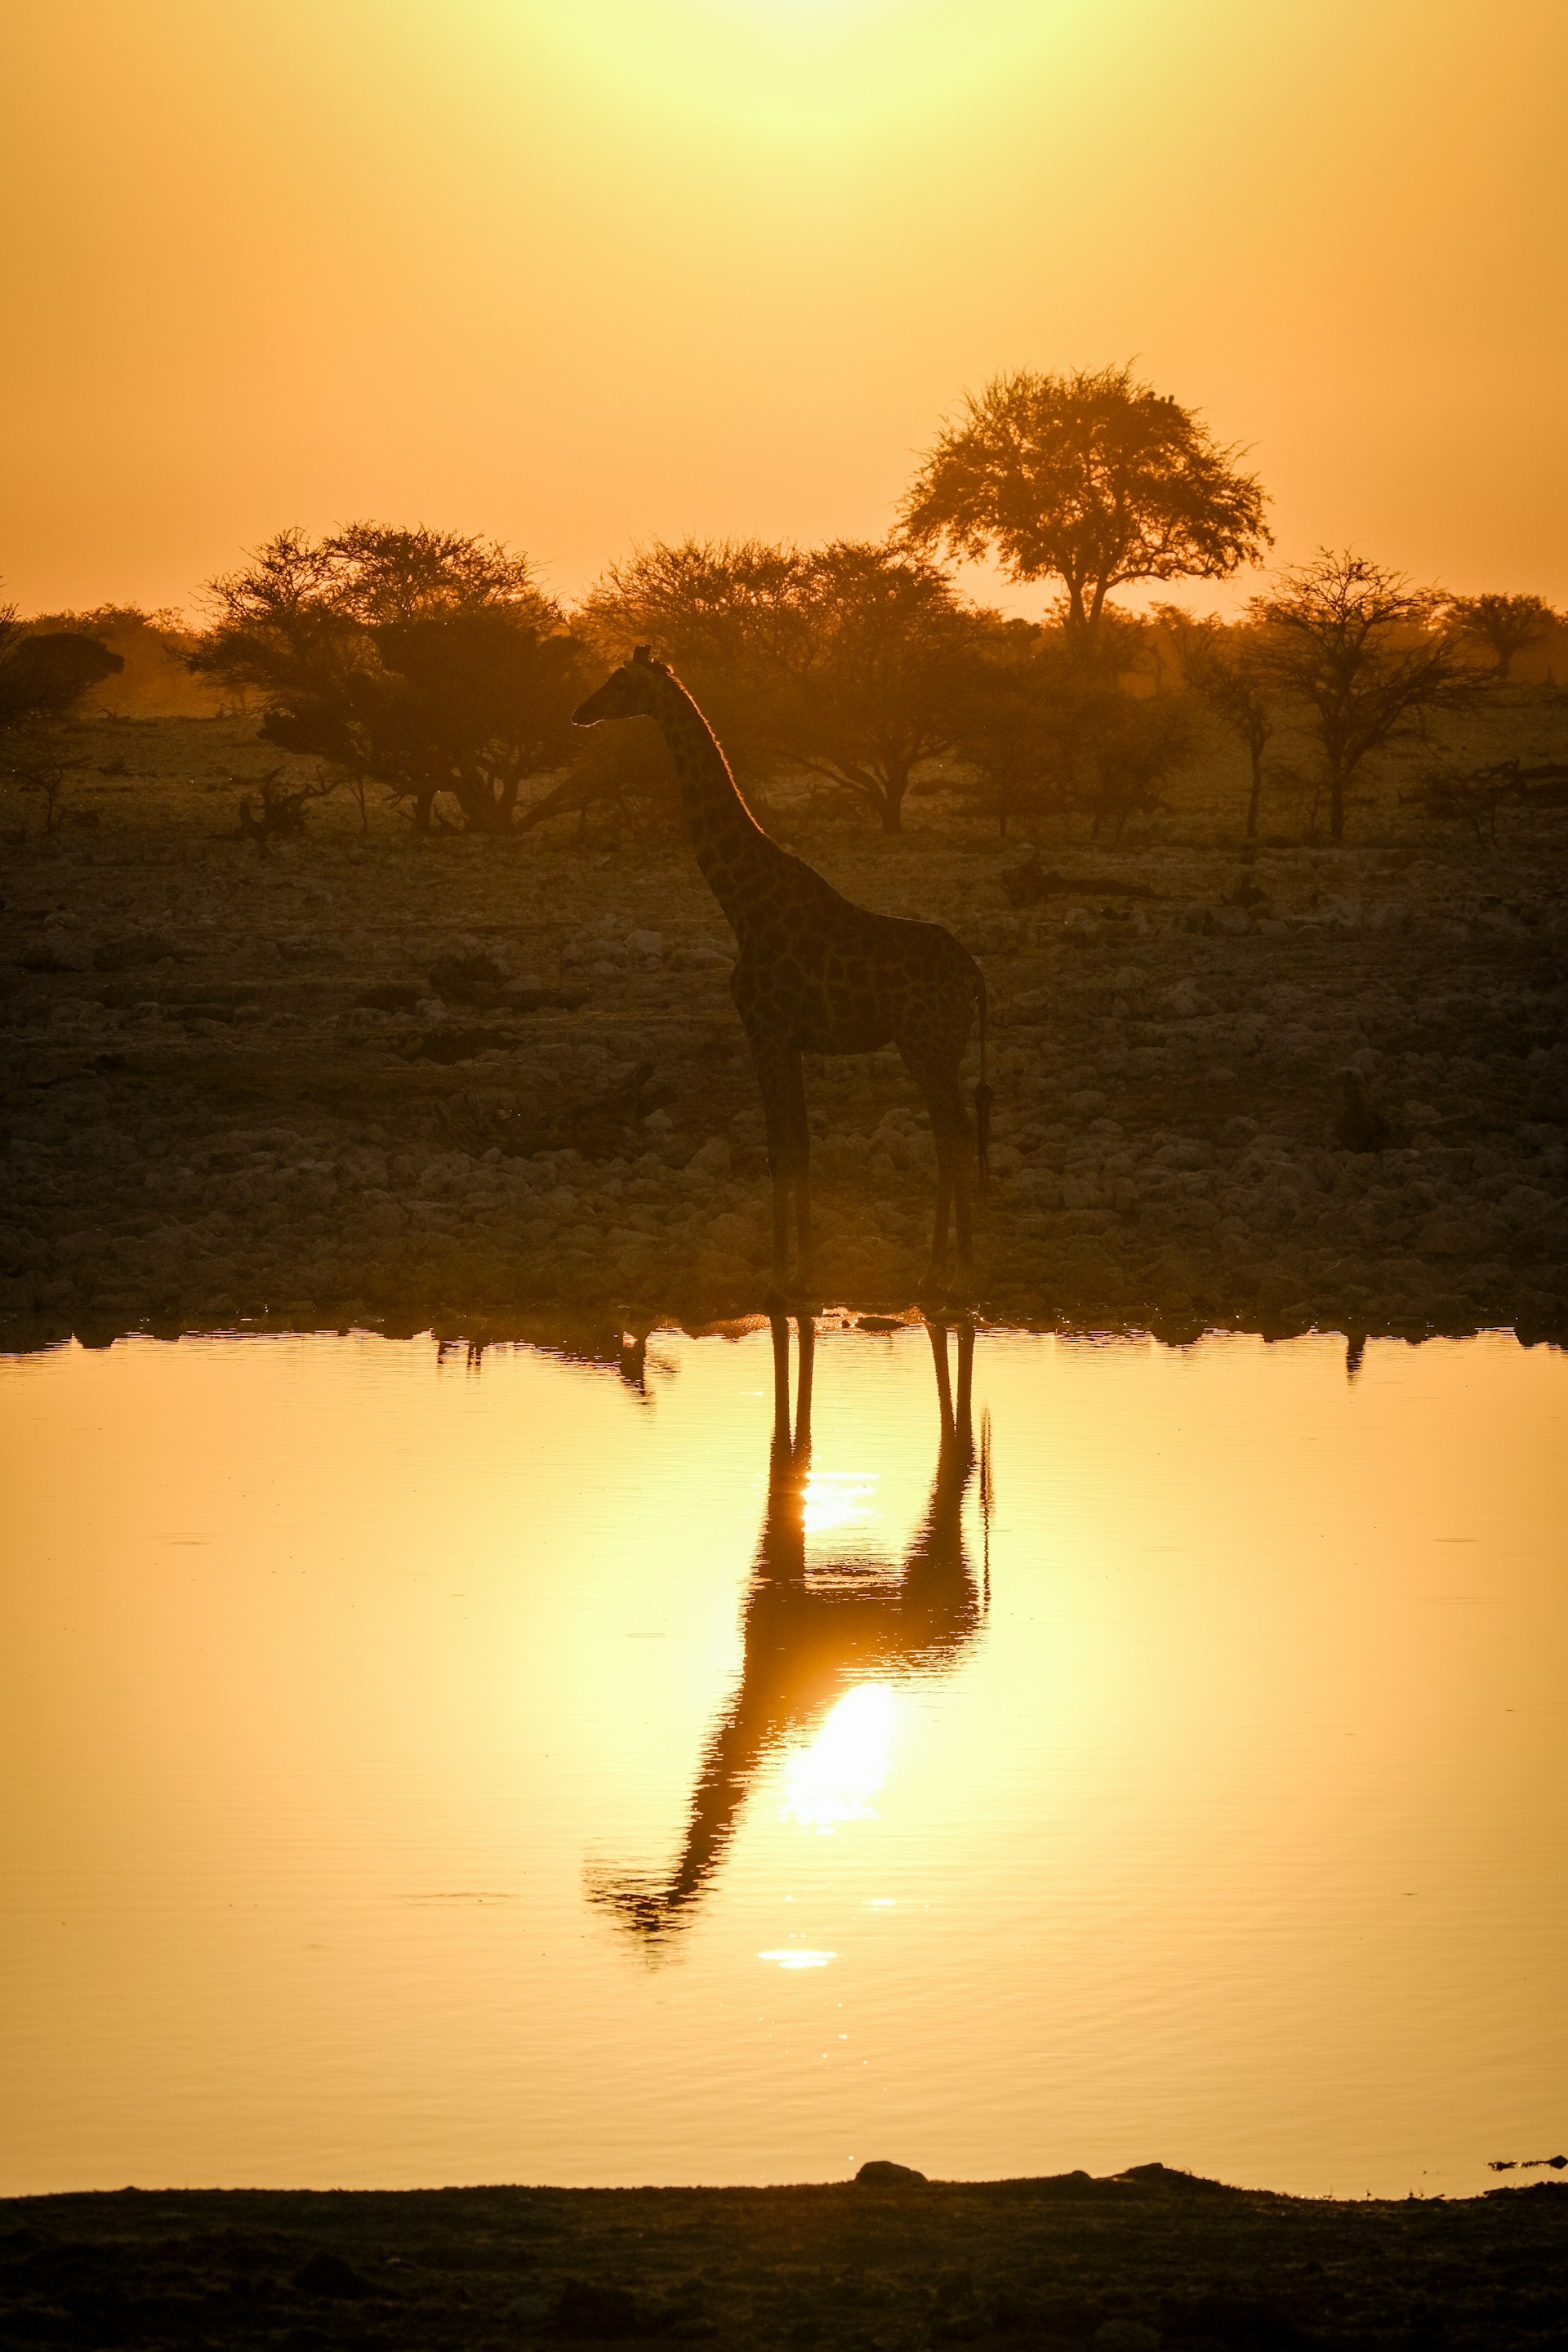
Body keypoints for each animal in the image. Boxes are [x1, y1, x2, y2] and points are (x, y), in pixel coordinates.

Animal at [571, 648, 992, 1299]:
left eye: (619, 683)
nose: (579, 712)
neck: (742, 902)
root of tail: (972, 975)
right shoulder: (790, 1039)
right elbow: (799, 1145)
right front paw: (803, 1272)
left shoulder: (764, 1030)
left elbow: (778, 1149)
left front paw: (777, 1277)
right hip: (939, 1048)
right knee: (958, 1133)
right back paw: (942, 1272)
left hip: (926, 1045)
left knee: (952, 1135)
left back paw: (949, 1273)